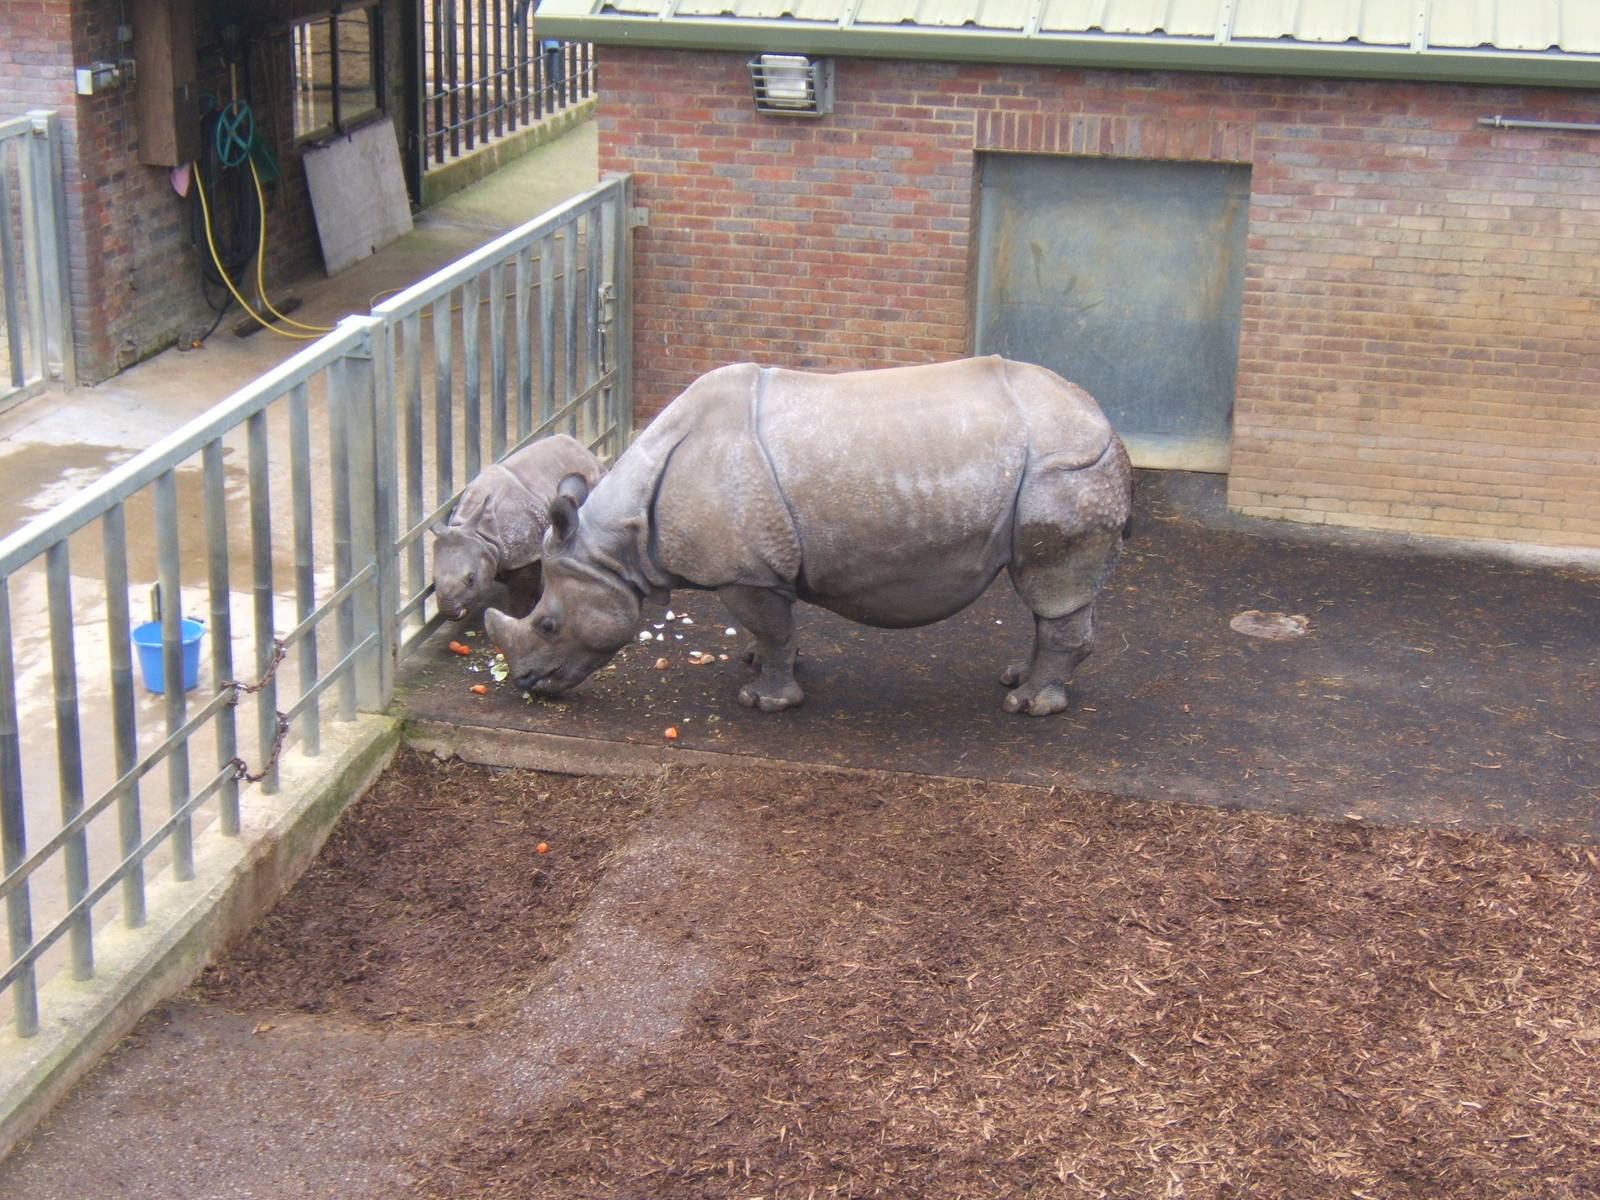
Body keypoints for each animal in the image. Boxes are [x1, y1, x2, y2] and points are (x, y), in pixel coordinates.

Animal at [431, 434, 603, 620]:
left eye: (471, 579)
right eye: (433, 581)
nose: (450, 612)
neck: (481, 534)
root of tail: (581, 447)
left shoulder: (526, 553)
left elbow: (520, 593)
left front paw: (519, 615)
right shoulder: (500, 553)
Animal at [486, 356, 1132, 716]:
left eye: (548, 624)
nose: (525, 683)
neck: (617, 541)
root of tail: (1104, 419)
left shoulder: (742, 571)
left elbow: (773, 629)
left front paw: (764, 701)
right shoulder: (761, 570)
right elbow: (775, 631)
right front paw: (755, 663)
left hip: (1065, 468)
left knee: (1052, 588)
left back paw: (1027, 706)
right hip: (1064, 462)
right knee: (1052, 599)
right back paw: (1018, 678)